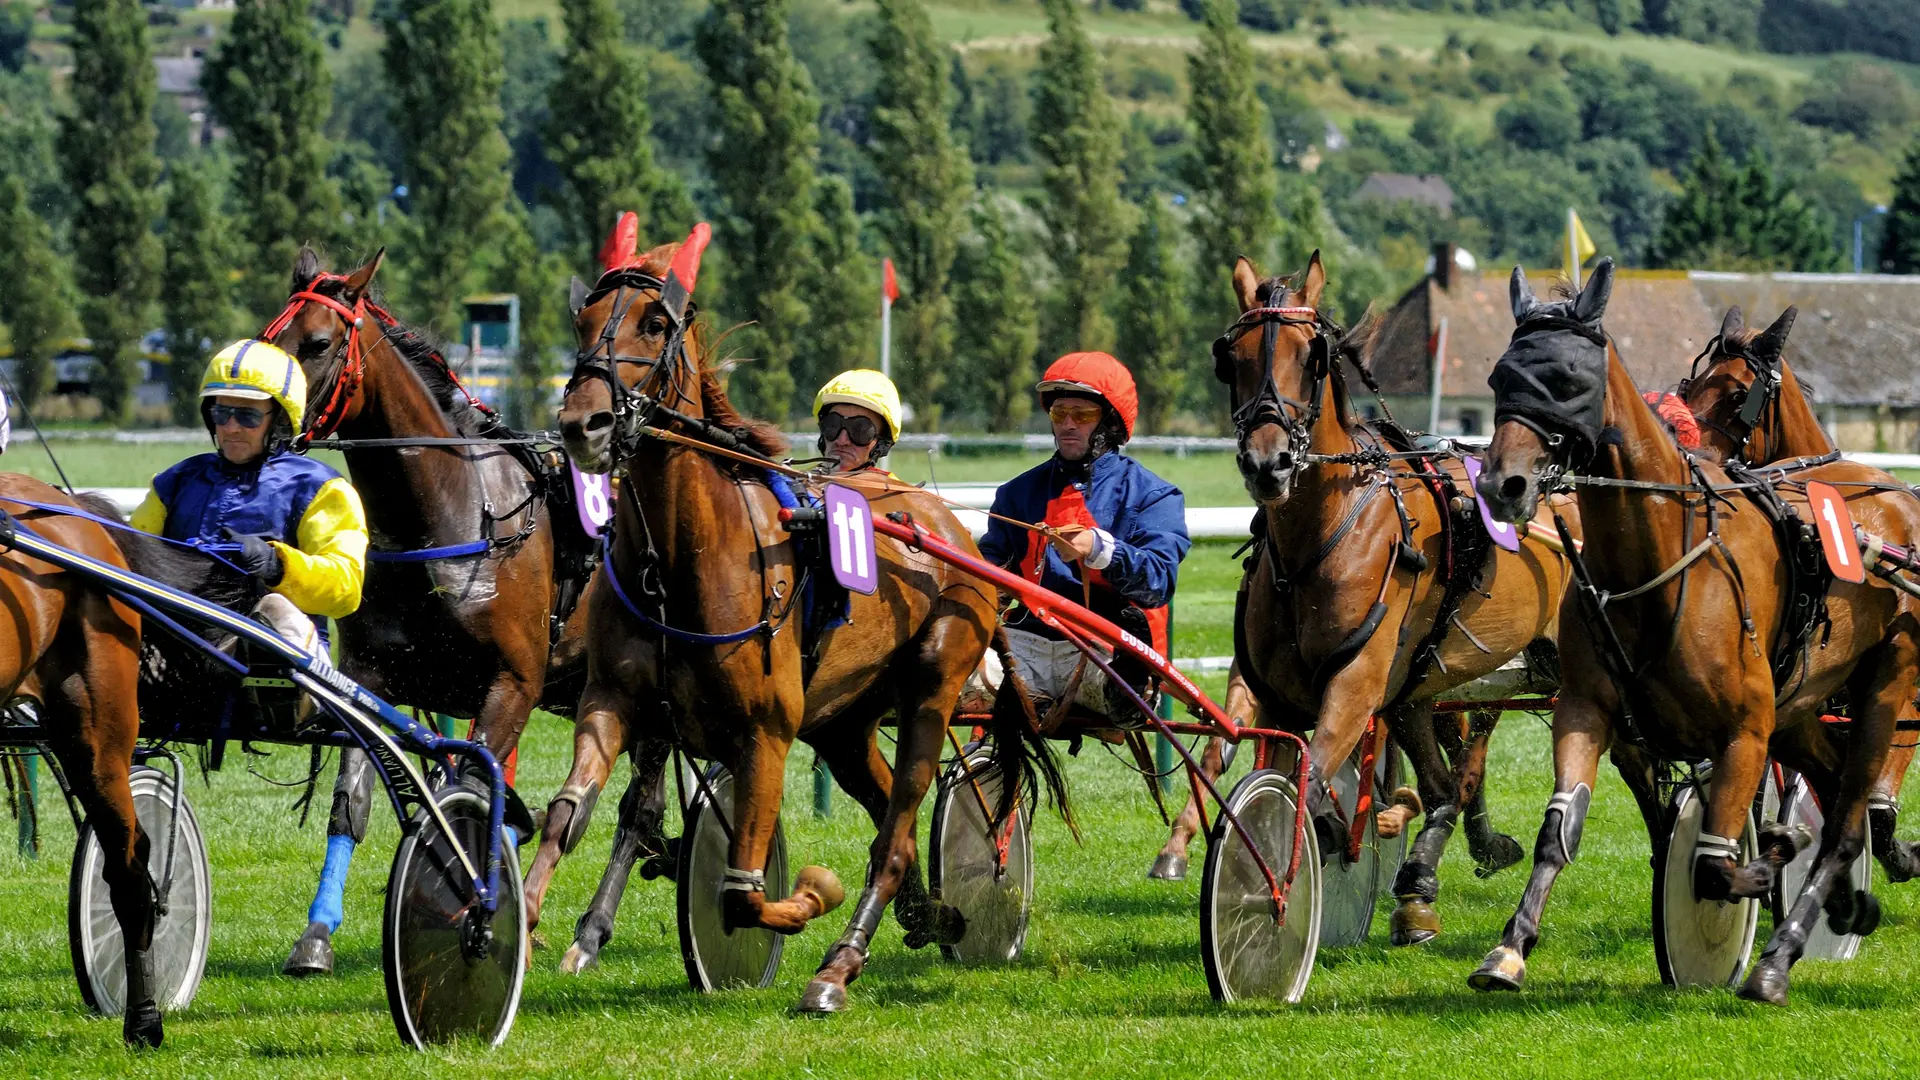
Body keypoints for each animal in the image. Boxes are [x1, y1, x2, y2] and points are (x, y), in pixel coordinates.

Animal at [263, 249, 591, 968]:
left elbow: (466, 796)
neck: (452, 514)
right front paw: (316, 936)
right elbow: (351, 803)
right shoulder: (372, 674)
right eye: (269, 338)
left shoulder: (512, 684)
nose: (259, 419)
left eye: (318, 343)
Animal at [529, 228, 1052, 1006]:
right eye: (582, 325)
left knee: (898, 827)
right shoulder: (614, 700)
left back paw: (841, 963)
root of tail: (946, 525)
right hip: (843, 721)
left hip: (934, 683)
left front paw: (811, 895)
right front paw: (523, 924)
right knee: (884, 813)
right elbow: (569, 813)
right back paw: (933, 914)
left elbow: (742, 893)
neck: (679, 559)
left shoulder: (764, 732)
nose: (582, 424)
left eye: (653, 324)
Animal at [1213, 251, 1574, 941]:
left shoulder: (1356, 681)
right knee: (1443, 784)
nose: (1268, 464)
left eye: (1311, 355)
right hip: (1422, 685)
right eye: (1232, 357)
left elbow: (1314, 783)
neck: (1318, 536)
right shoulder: (1282, 697)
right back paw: (1421, 883)